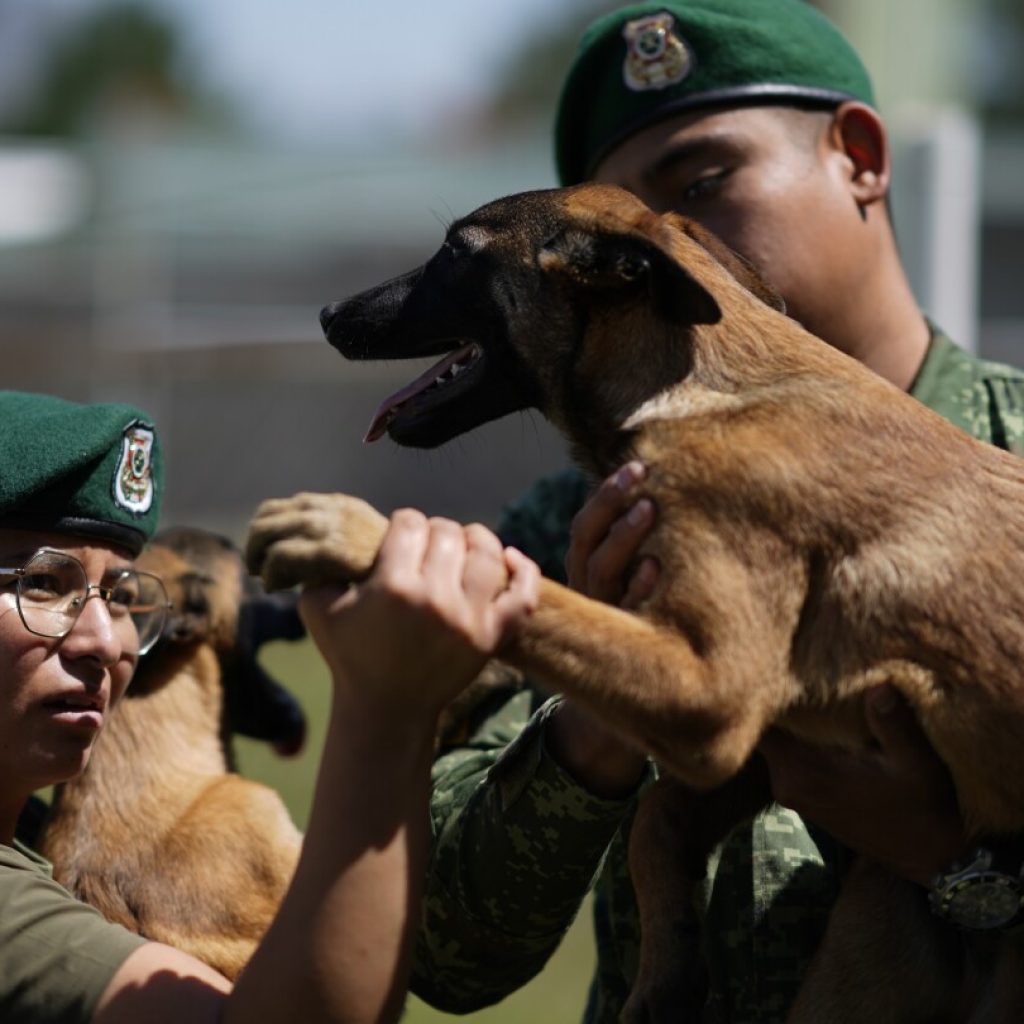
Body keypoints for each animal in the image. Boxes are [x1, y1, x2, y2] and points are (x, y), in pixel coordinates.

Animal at [245, 186, 1024, 1024]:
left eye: (457, 251)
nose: (328, 314)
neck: (703, 388)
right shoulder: (768, 739)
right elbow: (654, 817)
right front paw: (668, 973)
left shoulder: (713, 694)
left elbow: (535, 590)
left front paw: (354, 531)